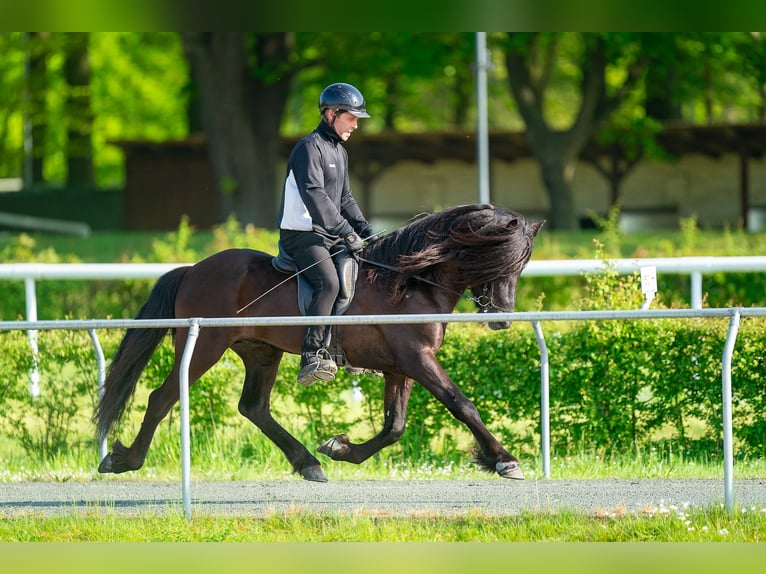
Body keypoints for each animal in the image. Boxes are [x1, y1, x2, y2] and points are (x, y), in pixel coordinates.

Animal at [94, 203, 544, 482]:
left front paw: (340, 448)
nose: (502, 317)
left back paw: (308, 462)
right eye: (500, 261)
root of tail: (192, 270)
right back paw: (123, 459)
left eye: (520, 266)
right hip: (205, 346)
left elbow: (394, 426)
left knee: (253, 407)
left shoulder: (400, 366)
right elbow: (461, 404)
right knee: (162, 397)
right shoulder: (417, 359)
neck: (408, 280)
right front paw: (504, 460)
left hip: (261, 352)